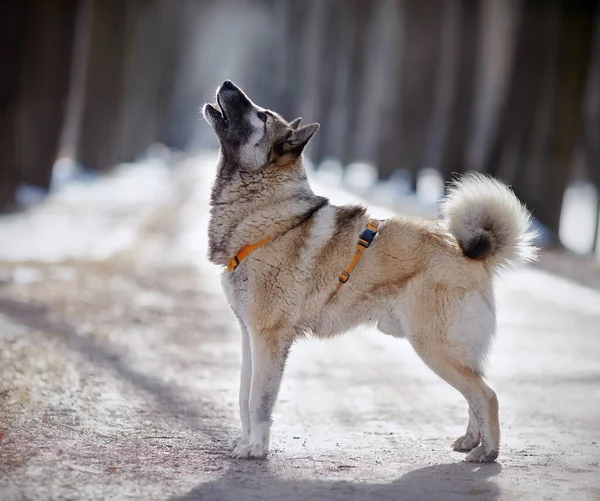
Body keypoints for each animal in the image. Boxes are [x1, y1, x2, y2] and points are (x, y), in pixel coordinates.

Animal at [203, 79, 540, 460]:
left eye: (261, 116)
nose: (227, 83)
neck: (271, 216)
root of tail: (469, 253)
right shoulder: (249, 336)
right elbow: (243, 397)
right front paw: (247, 442)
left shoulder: (269, 338)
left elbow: (258, 401)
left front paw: (257, 449)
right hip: (449, 350)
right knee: (474, 394)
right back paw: (471, 441)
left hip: (434, 346)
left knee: (487, 395)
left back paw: (487, 452)